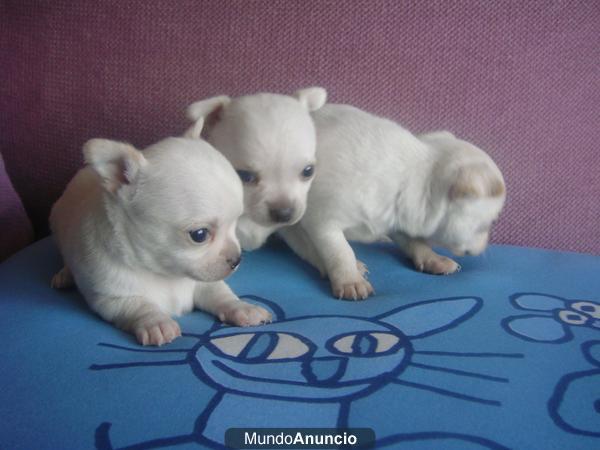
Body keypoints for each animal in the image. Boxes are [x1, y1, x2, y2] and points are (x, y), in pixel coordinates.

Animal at [51, 136, 272, 344]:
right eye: (199, 235)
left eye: (236, 225)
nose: (237, 259)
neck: (164, 273)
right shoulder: (111, 298)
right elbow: (139, 305)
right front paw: (156, 322)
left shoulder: (204, 283)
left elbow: (220, 293)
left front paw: (242, 307)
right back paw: (64, 275)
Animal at [278, 104, 504, 300]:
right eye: (487, 225)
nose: (486, 245)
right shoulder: (324, 225)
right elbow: (341, 252)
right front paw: (350, 280)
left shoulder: (397, 219)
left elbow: (415, 242)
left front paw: (433, 259)